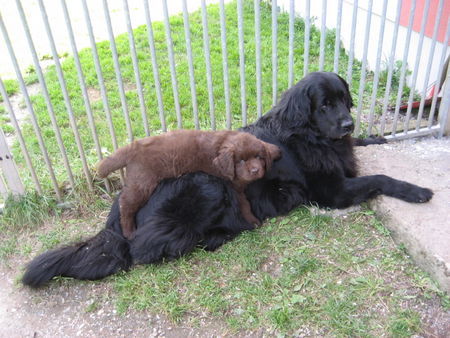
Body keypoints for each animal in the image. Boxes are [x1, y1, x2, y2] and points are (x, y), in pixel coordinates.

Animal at [98, 129, 282, 238]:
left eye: (258, 157)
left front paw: (274, 150)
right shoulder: (234, 186)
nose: (255, 170)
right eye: (242, 161)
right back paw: (129, 231)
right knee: (126, 203)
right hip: (143, 181)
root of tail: (133, 147)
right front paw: (252, 220)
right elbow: (244, 204)